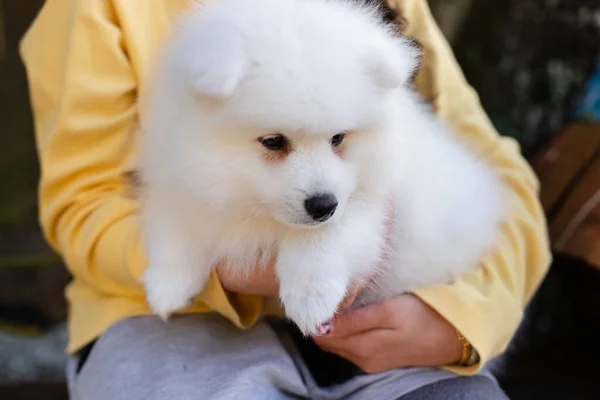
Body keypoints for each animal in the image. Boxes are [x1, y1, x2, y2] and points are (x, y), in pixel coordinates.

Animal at [137, 0, 506, 336]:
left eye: (338, 137)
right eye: (273, 141)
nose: (323, 205)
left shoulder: (370, 201)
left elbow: (327, 236)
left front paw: (310, 298)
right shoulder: (179, 173)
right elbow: (176, 223)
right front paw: (167, 284)